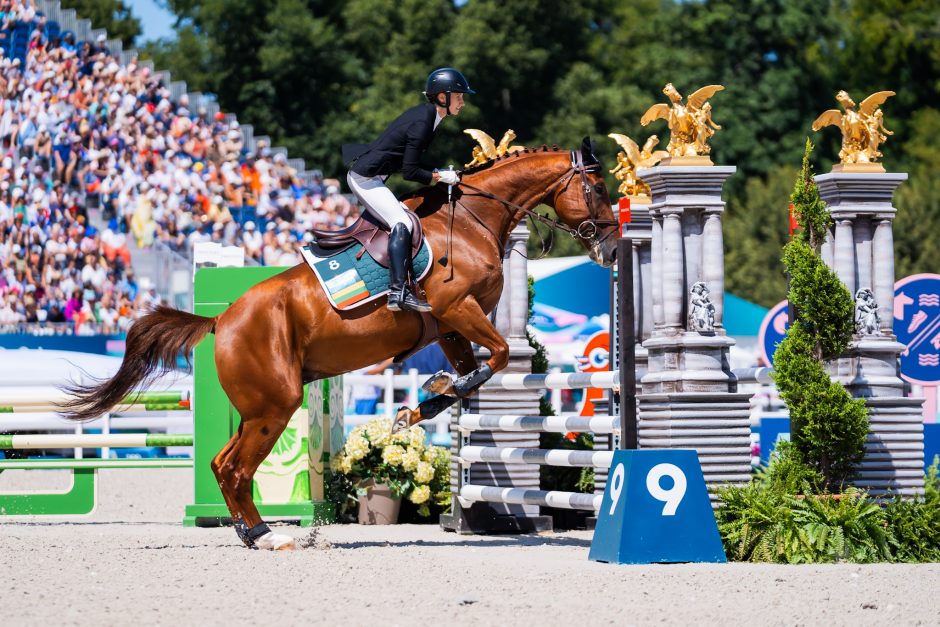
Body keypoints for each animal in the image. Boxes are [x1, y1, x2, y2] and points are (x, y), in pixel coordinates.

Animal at [57, 139, 616, 548]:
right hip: (275, 404)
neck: (472, 222)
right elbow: (496, 357)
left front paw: (418, 407)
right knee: (236, 468)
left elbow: (475, 372)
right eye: (596, 188)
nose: (611, 247)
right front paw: (423, 404)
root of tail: (221, 319)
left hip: (259, 408)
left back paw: (248, 532)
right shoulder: (459, 310)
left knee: (222, 464)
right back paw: (266, 536)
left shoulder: (451, 326)